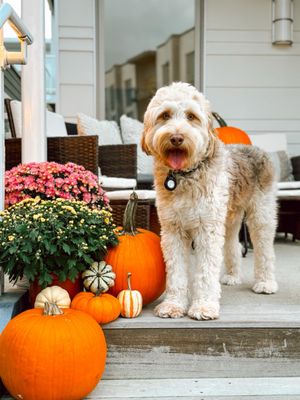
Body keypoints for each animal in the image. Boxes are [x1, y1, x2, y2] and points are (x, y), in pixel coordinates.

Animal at [142, 83, 278, 320]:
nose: (176, 137)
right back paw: (232, 276)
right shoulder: (172, 229)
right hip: (229, 217)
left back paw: (265, 283)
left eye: (191, 116)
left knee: (265, 249)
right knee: (232, 244)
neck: (185, 176)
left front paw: (204, 306)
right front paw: (173, 305)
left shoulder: (207, 229)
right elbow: (176, 272)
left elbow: (205, 271)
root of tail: (257, 149)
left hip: (261, 214)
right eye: (165, 115)